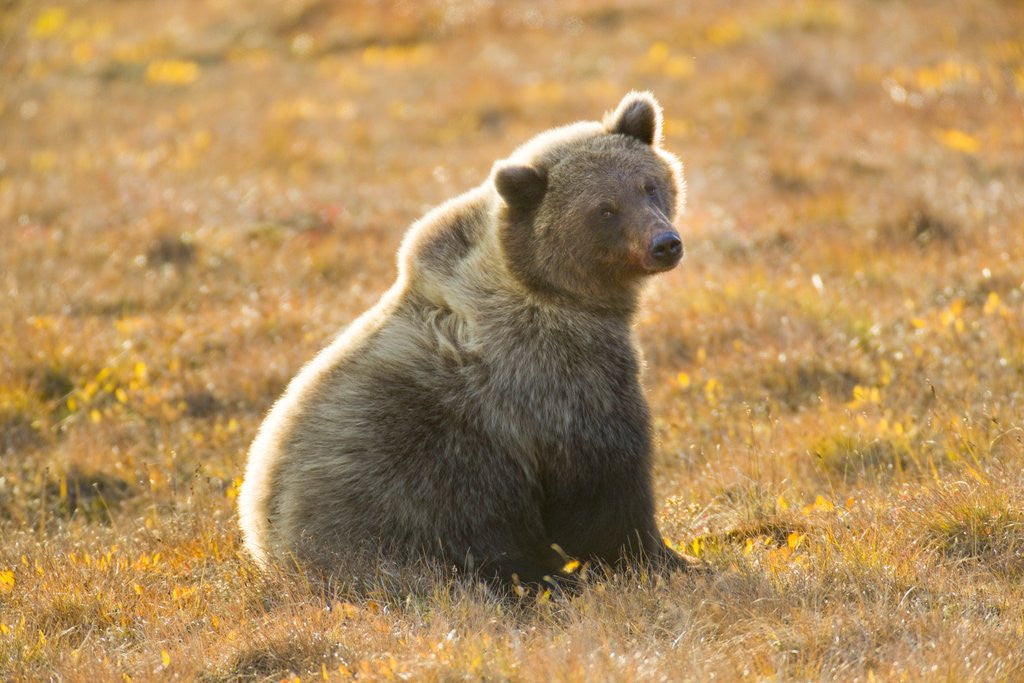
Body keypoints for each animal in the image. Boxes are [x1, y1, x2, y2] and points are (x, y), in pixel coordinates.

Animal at [237, 92, 690, 591]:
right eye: (604, 209)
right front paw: (664, 558)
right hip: (406, 503)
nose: (664, 243)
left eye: (649, 185)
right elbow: (602, 480)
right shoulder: (555, 371)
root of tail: (267, 550)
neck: (549, 288)